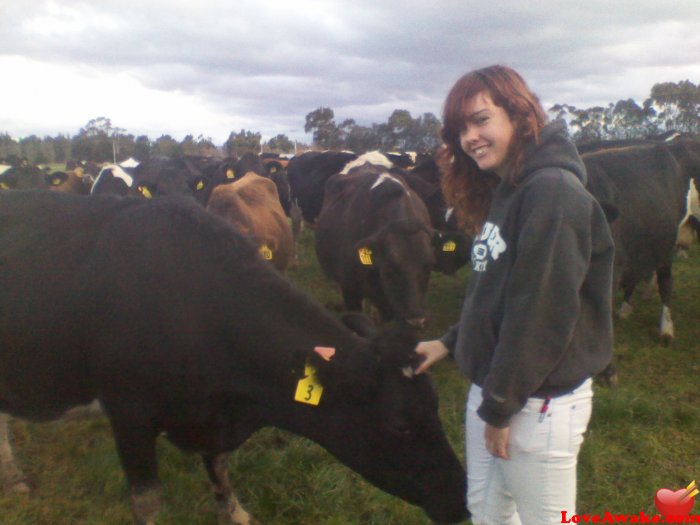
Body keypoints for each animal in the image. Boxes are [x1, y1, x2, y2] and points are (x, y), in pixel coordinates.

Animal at [2, 190, 470, 524]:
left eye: (435, 408)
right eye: (400, 425)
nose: (460, 499)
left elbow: (220, 467)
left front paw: (235, 513)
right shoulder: (129, 412)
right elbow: (148, 502)